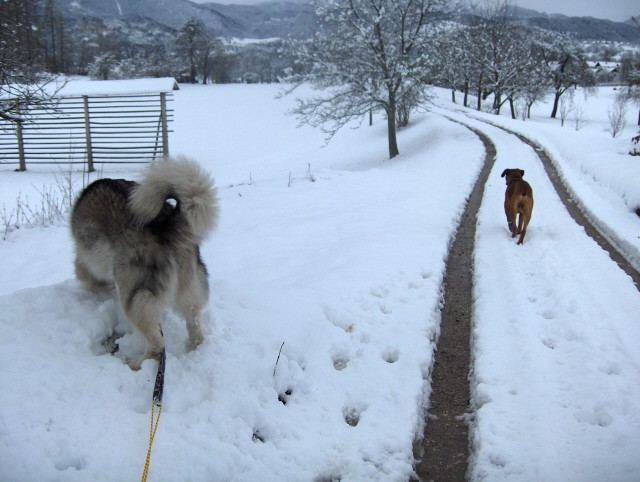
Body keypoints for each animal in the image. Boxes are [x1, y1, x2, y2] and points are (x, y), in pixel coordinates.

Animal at [71, 156, 219, 368]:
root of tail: (166, 226)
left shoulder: (85, 261)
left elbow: (87, 278)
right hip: (190, 292)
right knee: (195, 327)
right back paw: (193, 347)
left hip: (134, 299)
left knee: (157, 345)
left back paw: (134, 366)